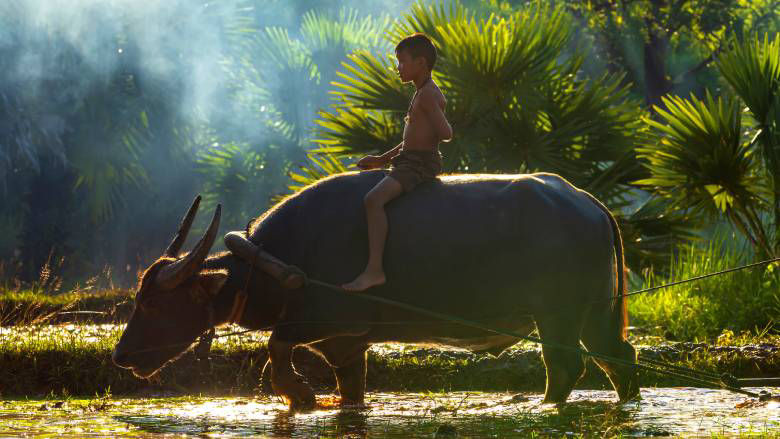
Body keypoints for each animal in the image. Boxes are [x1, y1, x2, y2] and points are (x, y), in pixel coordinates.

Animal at [113, 171, 640, 409]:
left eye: (154, 303)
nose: (120, 355)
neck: (281, 261)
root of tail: (590, 204)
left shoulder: (330, 321)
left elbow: (275, 346)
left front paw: (299, 394)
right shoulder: (346, 346)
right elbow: (350, 390)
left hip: (559, 314)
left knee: (566, 364)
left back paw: (546, 406)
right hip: (595, 312)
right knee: (619, 356)